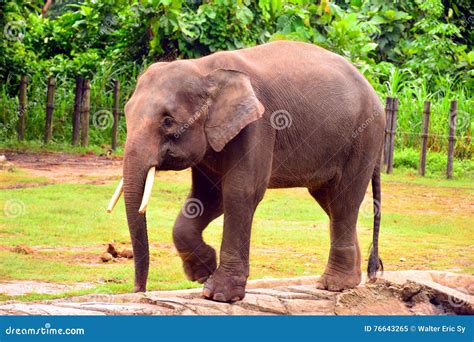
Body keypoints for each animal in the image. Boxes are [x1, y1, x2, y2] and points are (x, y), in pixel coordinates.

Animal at [107, 39, 386, 302]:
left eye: (168, 121)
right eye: (126, 113)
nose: (139, 291)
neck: (205, 70)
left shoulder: (257, 126)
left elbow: (240, 192)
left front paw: (219, 295)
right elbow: (208, 196)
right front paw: (203, 272)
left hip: (363, 138)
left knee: (343, 200)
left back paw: (334, 285)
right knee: (329, 201)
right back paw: (349, 281)